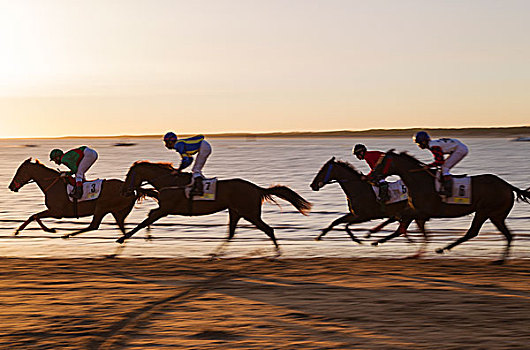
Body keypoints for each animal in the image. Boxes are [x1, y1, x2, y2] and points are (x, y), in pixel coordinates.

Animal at [7, 159, 157, 238]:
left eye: (19, 171)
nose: (10, 186)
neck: (53, 185)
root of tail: (131, 189)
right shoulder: (54, 211)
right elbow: (34, 216)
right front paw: (19, 229)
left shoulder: (56, 212)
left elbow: (35, 216)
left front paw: (49, 230)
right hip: (118, 212)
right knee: (120, 229)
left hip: (102, 207)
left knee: (94, 225)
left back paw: (68, 235)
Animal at [117, 161, 312, 258]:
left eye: (128, 175)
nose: (125, 190)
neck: (170, 181)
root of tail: (257, 188)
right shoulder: (164, 207)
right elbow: (148, 216)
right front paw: (146, 236)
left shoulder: (166, 208)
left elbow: (145, 220)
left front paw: (122, 238)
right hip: (236, 212)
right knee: (232, 233)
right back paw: (215, 253)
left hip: (249, 213)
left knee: (268, 229)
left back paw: (278, 252)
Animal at [368, 150, 528, 262]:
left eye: (381, 163)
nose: (371, 176)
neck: (419, 181)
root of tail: (507, 185)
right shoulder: (414, 210)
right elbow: (400, 223)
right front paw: (375, 237)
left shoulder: (421, 212)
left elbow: (402, 223)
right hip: (496, 215)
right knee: (507, 235)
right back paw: (500, 260)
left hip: (485, 211)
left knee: (473, 232)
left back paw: (443, 249)